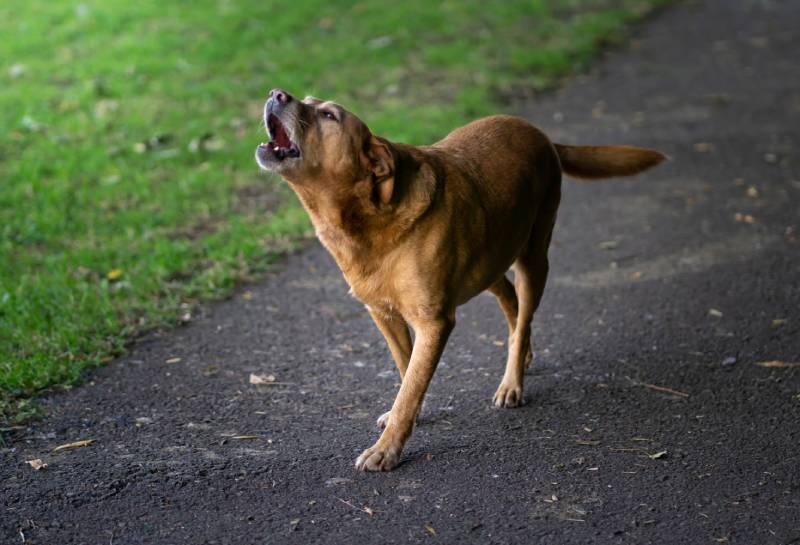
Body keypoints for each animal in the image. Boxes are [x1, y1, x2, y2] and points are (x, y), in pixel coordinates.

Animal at [255, 87, 664, 470]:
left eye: (328, 115)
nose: (276, 93)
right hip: (487, 260)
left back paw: (512, 382)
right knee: (512, 302)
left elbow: (411, 386)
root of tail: (541, 133)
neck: (367, 220)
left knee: (524, 313)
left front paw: (387, 448)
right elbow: (407, 371)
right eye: (307, 101)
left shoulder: (434, 322)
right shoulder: (384, 315)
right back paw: (524, 354)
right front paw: (408, 417)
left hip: (533, 259)